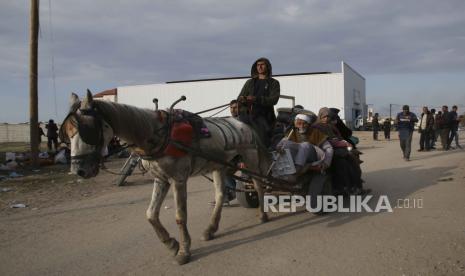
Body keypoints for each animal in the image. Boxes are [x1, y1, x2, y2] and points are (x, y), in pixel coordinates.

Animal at [61, 91, 272, 266]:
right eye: (68, 133)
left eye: (87, 129)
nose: (79, 170)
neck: (158, 134)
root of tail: (243, 124)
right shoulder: (161, 179)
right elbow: (150, 214)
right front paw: (171, 243)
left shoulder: (178, 179)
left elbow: (180, 216)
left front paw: (184, 251)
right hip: (219, 165)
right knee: (220, 194)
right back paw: (210, 229)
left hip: (250, 160)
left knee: (258, 185)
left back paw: (262, 214)